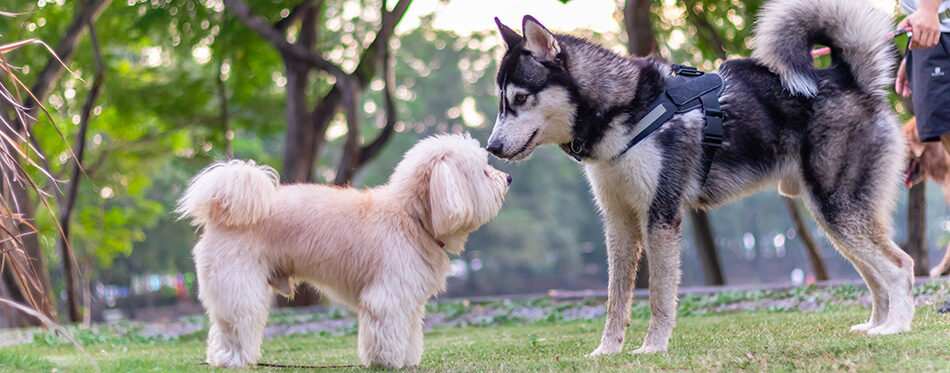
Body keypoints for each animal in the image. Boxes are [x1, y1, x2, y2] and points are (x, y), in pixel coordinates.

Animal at [176, 134, 510, 366]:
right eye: (483, 171)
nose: (508, 177)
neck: (411, 216)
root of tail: (222, 210)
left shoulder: (410, 302)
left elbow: (410, 333)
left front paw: (406, 359)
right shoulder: (388, 298)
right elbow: (387, 331)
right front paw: (388, 361)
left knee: (221, 329)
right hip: (239, 287)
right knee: (236, 326)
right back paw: (234, 359)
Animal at [490, 0, 916, 354]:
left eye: (521, 98)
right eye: (500, 102)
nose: (491, 147)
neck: (624, 106)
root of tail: (845, 76)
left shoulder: (661, 216)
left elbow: (659, 297)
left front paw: (652, 348)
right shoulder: (619, 223)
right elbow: (616, 300)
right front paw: (607, 352)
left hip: (837, 210)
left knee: (900, 266)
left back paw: (896, 327)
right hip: (833, 218)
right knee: (875, 275)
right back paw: (875, 326)